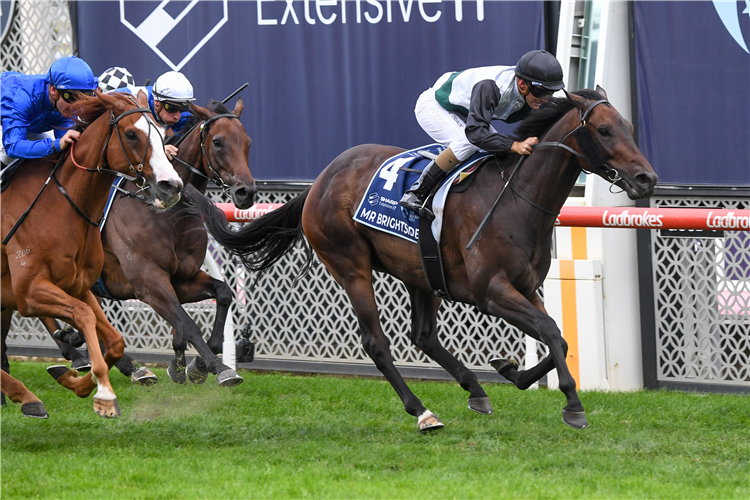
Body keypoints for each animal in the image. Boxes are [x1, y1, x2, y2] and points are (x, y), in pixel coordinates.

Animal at [0, 91, 184, 418]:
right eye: (131, 134)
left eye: (163, 134)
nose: (171, 186)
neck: (63, 205)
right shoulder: (28, 292)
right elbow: (83, 315)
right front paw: (104, 393)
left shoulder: (79, 286)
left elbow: (115, 340)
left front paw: (75, 381)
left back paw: (26, 397)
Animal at [191, 86, 660, 430]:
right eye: (604, 130)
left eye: (629, 126)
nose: (646, 178)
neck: (516, 198)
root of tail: (320, 182)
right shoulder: (491, 291)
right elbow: (548, 330)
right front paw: (573, 404)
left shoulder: (526, 287)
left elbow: (557, 336)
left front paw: (511, 370)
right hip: (350, 265)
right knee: (377, 343)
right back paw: (421, 411)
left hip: (419, 272)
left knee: (423, 335)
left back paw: (476, 390)